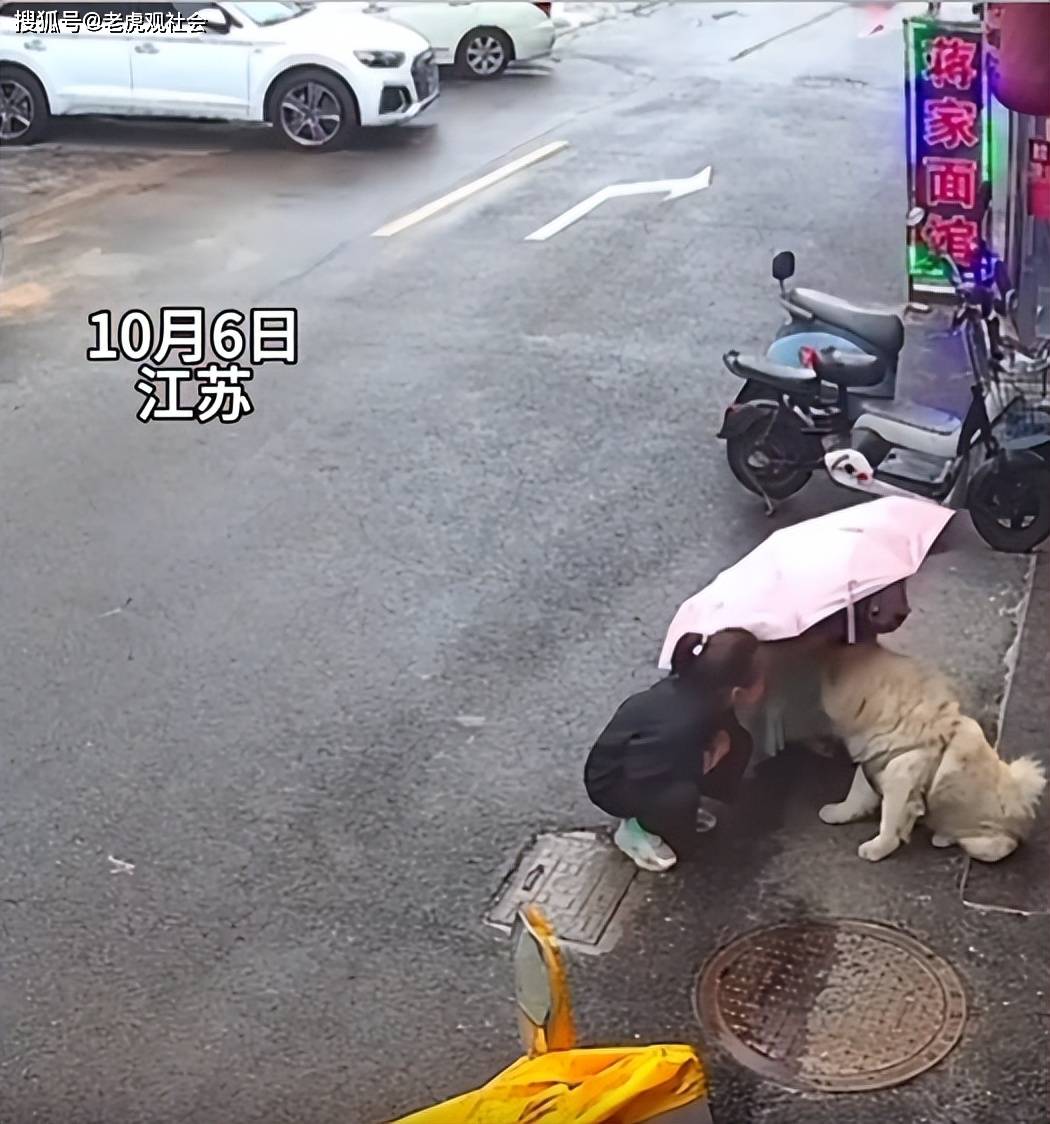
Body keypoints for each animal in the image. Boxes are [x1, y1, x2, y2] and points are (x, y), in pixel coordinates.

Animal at [818, 642, 1047, 858]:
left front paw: (878, 849)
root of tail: (1024, 810)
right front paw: (838, 813)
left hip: (984, 845)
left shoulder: (898, 780)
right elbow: (856, 797)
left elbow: (888, 824)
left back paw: (945, 837)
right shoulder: (873, 764)